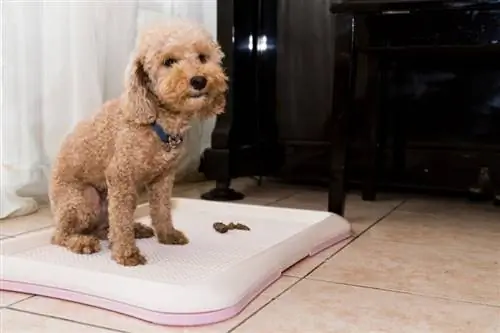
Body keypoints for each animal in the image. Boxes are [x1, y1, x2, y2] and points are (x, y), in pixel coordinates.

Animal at [47, 19, 228, 266]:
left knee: (105, 227)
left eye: (202, 57)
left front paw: (167, 235)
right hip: (84, 200)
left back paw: (134, 230)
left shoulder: (163, 179)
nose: (199, 80)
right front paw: (126, 253)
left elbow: (162, 210)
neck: (157, 121)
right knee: (60, 235)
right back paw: (81, 242)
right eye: (168, 61)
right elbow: (121, 220)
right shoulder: (120, 177)